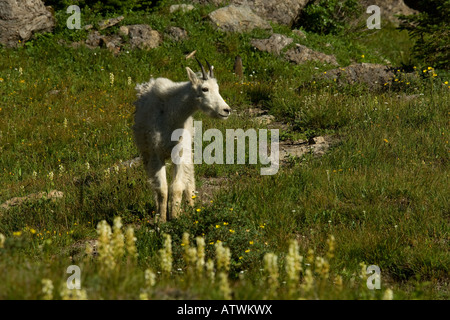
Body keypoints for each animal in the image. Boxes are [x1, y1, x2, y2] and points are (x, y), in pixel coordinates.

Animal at [130, 58, 229, 222]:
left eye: (218, 88)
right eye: (204, 89)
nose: (226, 110)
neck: (172, 115)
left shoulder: (180, 152)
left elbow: (176, 187)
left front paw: (176, 217)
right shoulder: (156, 154)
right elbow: (162, 189)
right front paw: (162, 219)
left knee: (189, 177)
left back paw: (190, 207)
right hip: (145, 153)